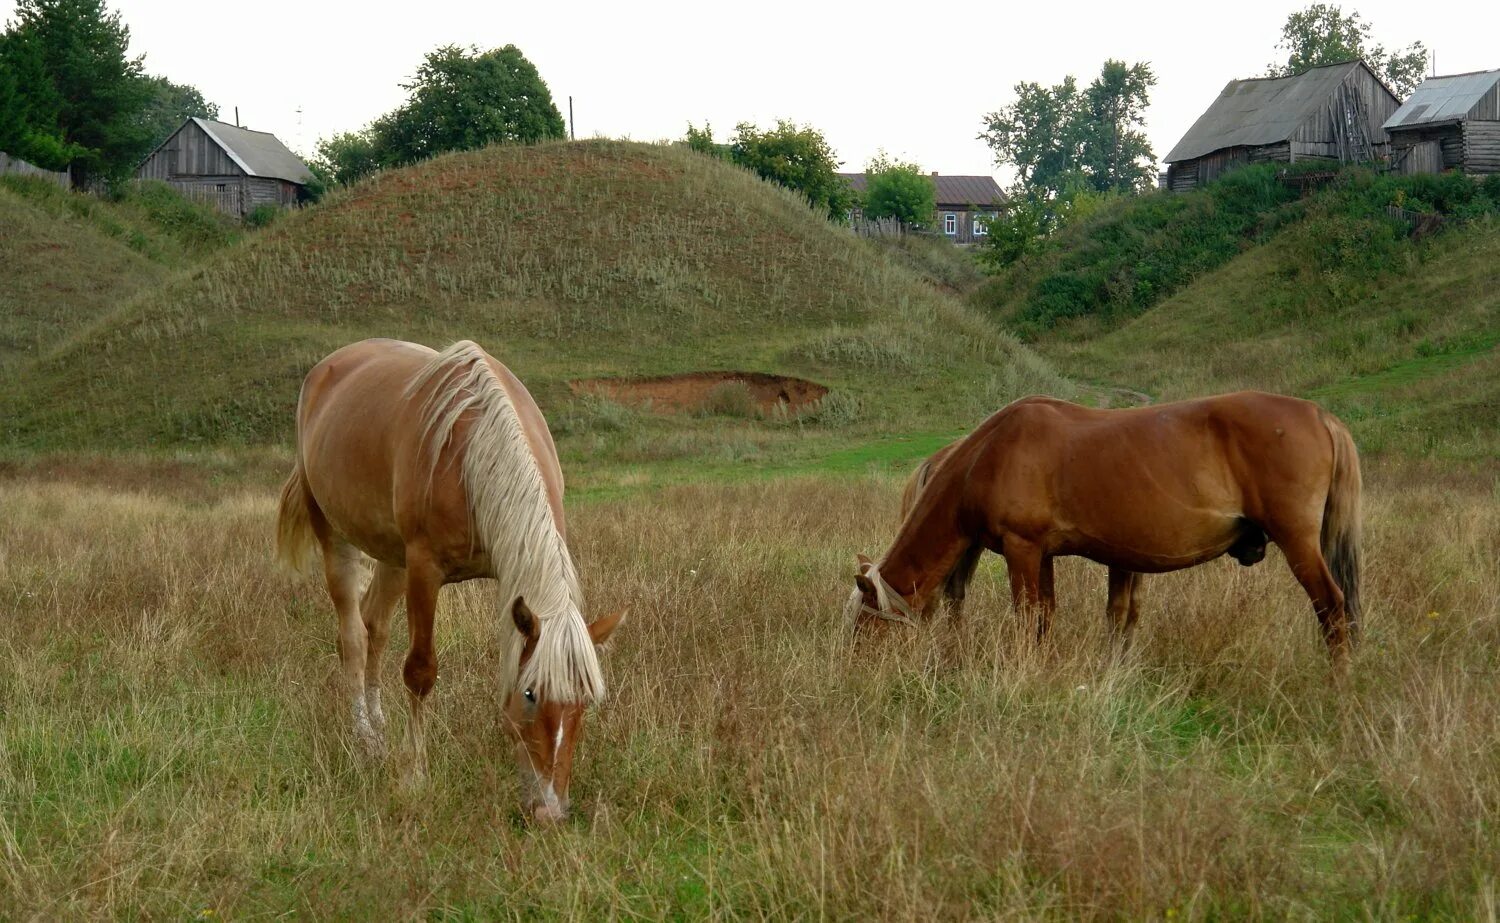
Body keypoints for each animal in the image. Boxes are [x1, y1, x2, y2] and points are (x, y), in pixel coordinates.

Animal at [279, 339, 624, 822]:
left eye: (586, 700)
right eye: (532, 694)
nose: (551, 813)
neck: (474, 455)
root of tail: (326, 369)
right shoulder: (425, 569)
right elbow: (420, 671)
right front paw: (414, 775)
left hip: (392, 556)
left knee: (374, 626)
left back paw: (380, 726)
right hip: (335, 533)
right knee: (352, 635)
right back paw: (365, 738)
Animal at [852, 393, 1368, 669]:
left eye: (865, 624)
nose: (856, 668)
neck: (990, 454)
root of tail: (1320, 415)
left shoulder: (1022, 549)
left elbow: (1026, 616)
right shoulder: (1043, 554)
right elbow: (1045, 617)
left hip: (1299, 544)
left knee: (1332, 606)